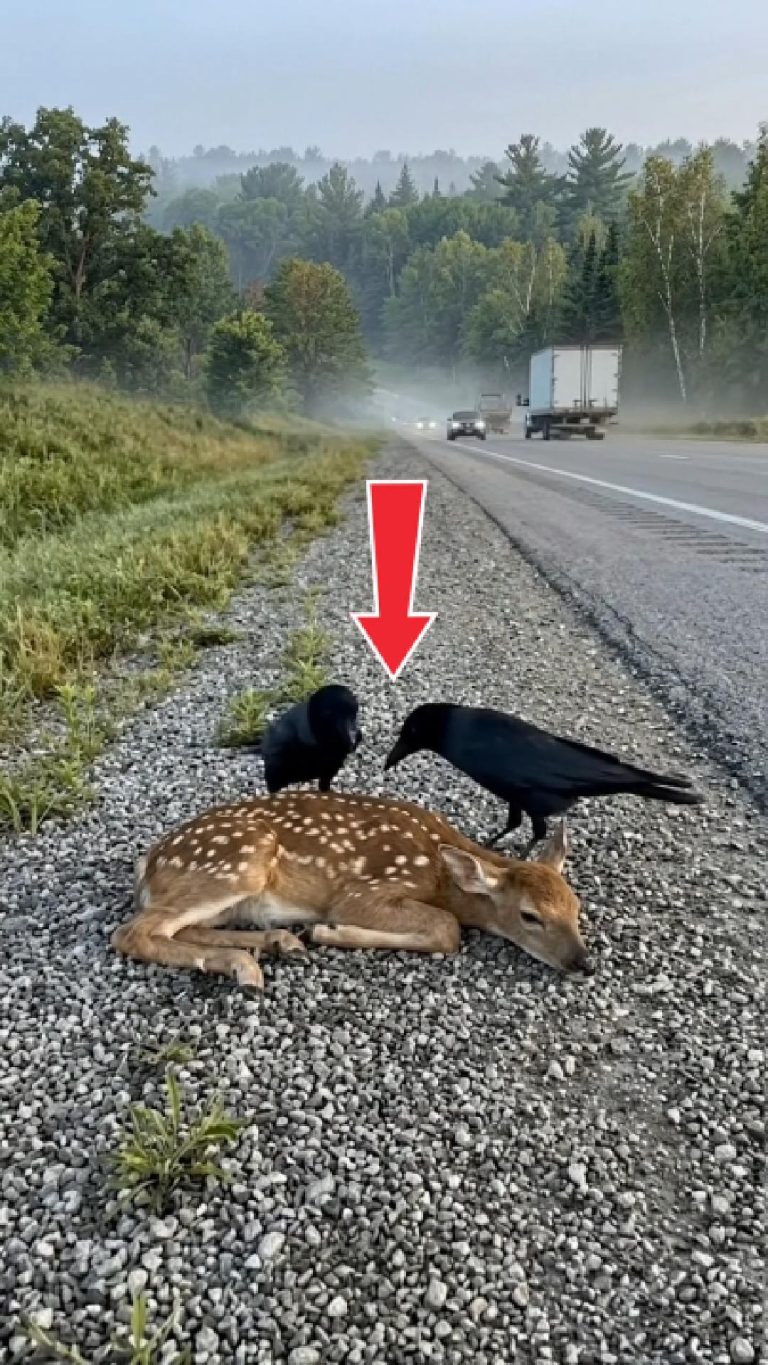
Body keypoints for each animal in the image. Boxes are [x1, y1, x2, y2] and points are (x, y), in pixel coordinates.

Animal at [111, 792, 592, 990]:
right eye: (530, 916)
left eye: (576, 907)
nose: (582, 962)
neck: (441, 874)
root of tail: (148, 862)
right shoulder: (363, 891)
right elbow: (448, 927)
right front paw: (331, 932)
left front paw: (316, 935)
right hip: (238, 863)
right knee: (132, 932)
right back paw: (253, 964)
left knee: (179, 929)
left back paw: (275, 945)